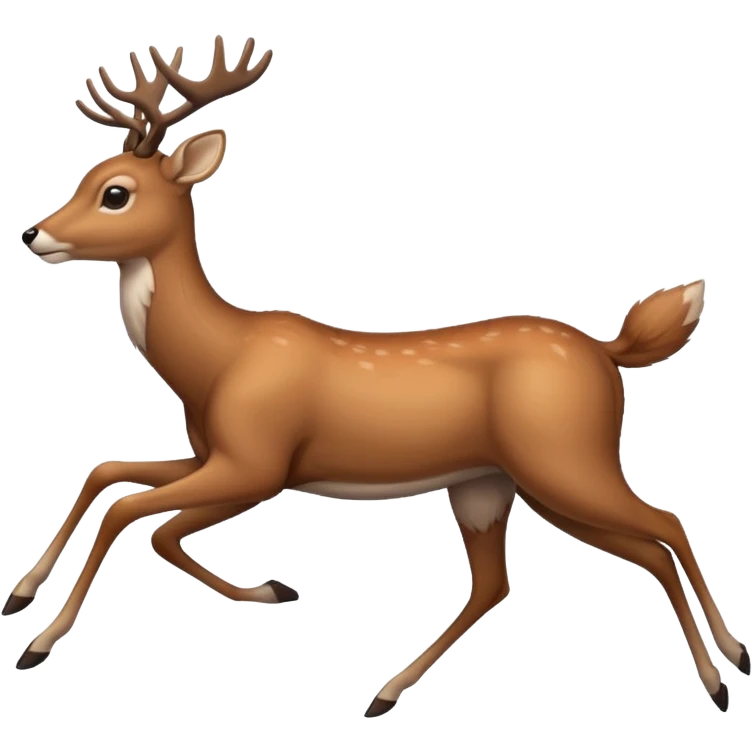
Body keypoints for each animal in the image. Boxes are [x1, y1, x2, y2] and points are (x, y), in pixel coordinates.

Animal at [7, 37, 747, 719]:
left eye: (115, 193)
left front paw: (39, 642)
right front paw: (21, 595)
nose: (34, 234)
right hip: (497, 481)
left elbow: (139, 518)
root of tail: (608, 351)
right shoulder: (212, 453)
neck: (216, 361)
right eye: (87, 173)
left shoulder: (258, 463)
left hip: (566, 458)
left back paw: (724, 668)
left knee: (664, 524)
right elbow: (108, 474)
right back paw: (387, 692)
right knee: (518, 578)